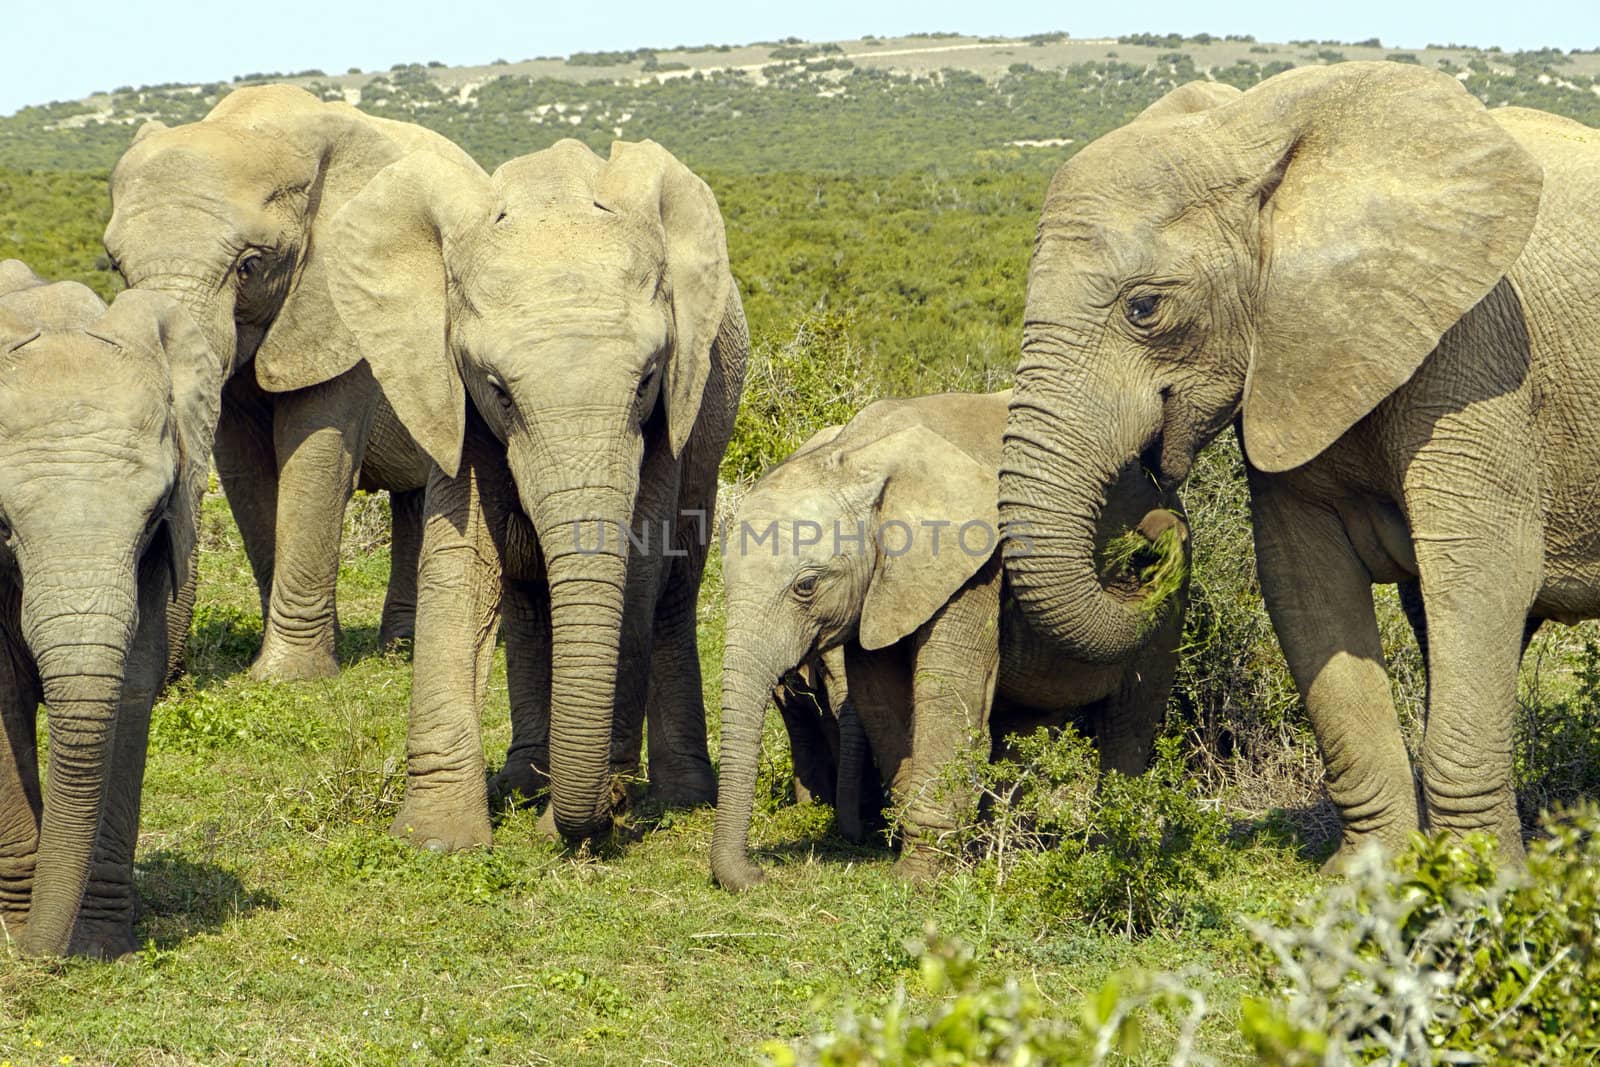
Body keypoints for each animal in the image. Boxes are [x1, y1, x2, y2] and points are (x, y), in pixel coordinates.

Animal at [0, 260, 219, 959]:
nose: (38, 958)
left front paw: (96, 944)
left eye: (152, 516)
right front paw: (16, 928)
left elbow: (130, 687)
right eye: (4, 523)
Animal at [100, 87, 483, 681]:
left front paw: (290, 676)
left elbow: (316, 459)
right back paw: (398, 647)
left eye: (248, 266)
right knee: (413, 496)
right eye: (116, 267)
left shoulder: (341, 302)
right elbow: (248, 472)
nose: (172, 679)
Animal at [321, 137, 752, 844]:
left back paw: (677, 796)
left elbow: (638, 568)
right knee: (527, 600)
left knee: (674, 588)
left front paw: (591, 811)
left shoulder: (671, 410)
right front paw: (436, 841)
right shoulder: (452, 396)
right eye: (499, 389)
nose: (590, 817)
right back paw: (525, 781)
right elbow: (463, 566)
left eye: (646, 380)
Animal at [713, 388, 1190, 889]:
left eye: (805, 586)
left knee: (1130, 721)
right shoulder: (882, 587)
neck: (859, 457)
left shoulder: (976, 563)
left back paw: (1106, 854)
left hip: (1168, 612)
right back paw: (1002, 848)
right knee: (1025, 724)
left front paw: (916, 878)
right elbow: (880, 696)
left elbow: (947, 690)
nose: (760, 875)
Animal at [998, 60, 1600, 870]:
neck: (1253, 136)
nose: (1158, 528)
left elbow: (1484, 569)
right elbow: (1304, 580)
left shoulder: (1478, 351)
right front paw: (1368, 877)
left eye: (1144, 308)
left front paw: (1477, 878)